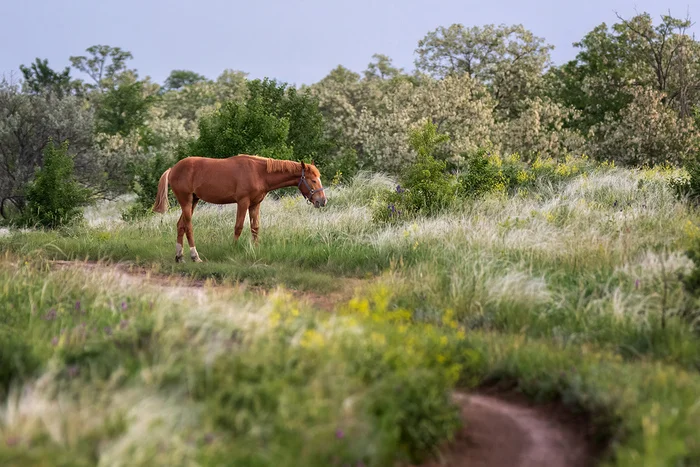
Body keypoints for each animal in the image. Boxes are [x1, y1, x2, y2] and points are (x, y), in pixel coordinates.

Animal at [152, 154, 326, 262]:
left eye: (319, 178)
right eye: (313, 180)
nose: (323, 201)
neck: (259, 172)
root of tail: (173, 169)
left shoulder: (255, 204)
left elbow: (255, 227)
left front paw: (256, 249)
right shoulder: (243, 202)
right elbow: (239, 227)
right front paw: (233, 249)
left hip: (193, 201)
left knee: (180, 225)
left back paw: (179, 256)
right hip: (186, 201)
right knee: (188, 227)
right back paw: (195, 256)